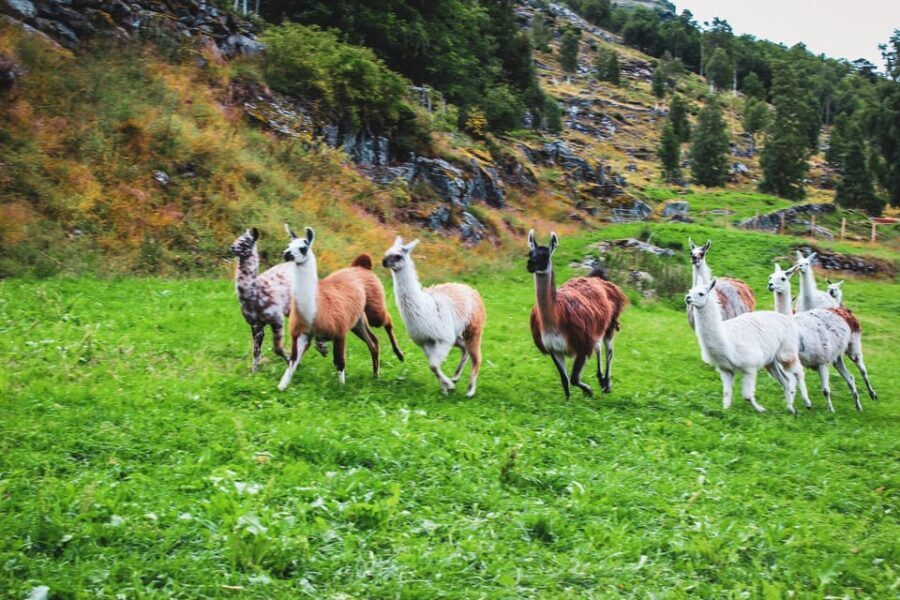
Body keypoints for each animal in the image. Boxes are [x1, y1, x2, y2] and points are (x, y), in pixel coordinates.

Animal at [382, 237, 485, 397]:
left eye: (398, 256)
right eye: (386, 252)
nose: (384, 261)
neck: (423, 308)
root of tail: (472, 290)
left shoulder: (442, 339)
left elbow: (433, 365)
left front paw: (448, 386)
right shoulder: (426, 341)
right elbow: (433, 366)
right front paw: (446, 388)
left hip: (473, 327)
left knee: (476, 357)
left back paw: (470, 390)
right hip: (455, 334)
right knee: (465, 349)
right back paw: (455, 377)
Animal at [527, 230, 627, 398]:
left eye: (545, 255)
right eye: (529, 253)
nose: (529, 265)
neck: (556, 317)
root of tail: (597, 279)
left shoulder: (581, 344)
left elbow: (574, 378)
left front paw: (588, 391)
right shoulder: (554, 348)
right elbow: (565, 380)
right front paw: (568, 400)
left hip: (610, 323)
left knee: (609, 351)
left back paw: (607, 384)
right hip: (595, 325)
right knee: (598, 346)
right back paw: (601, 378)